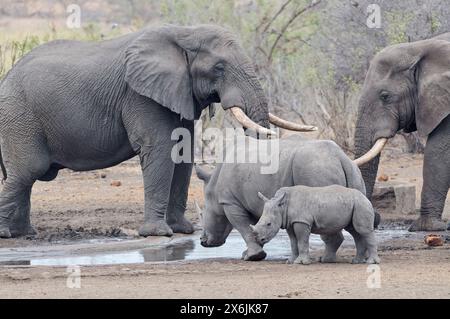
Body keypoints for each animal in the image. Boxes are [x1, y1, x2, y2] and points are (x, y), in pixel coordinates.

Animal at [0, 25, 312, 239]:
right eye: (219, 68)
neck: (185, 33)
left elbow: (182, 152)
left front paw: (182, 230)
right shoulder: (140, 95)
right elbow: (161, 150)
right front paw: (158, 234)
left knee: (25, 179)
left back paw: (26, 234)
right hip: (19, 116)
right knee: (27, 171)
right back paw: (7, 235)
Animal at [194, 136, 370, 262]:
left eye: (203, 214)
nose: (203, 241)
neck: (213, 184)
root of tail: (341, 156)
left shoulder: (230, 202)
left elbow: (243, 226)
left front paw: (251, 256)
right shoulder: (252, 201)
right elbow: (255, 225)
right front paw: (254, 249)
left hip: (315, 169)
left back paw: (325, 260)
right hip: (352, 173)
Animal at [251, 185, 382, 264]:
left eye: (269, 224)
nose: (259, 239)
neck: (283, 206)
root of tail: (365, 196)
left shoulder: (302, 221)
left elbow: (302, 241)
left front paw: (301, 262)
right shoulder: (290, 222)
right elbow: (293, 242)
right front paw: (291, 261)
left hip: (360, 203)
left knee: (363, 230)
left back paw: (371, 262)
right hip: (354, 204)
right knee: (355, 231)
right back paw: (356, 261)